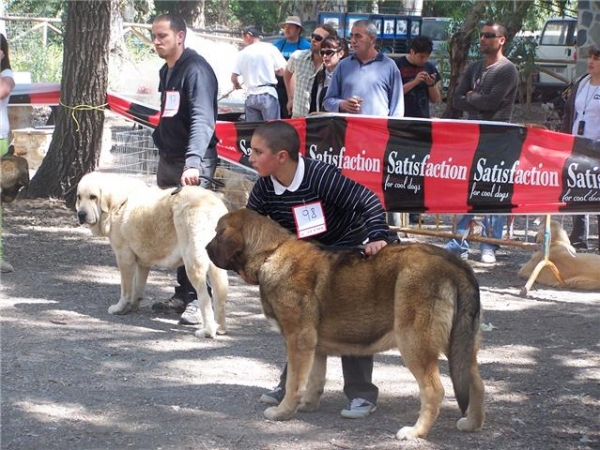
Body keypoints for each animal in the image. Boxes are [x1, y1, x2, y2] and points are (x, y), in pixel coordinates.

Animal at [77, 172, 230, 338]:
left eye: (93, 197)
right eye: (79, 197)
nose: (81, 214)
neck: (118, 204)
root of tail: (213, 203)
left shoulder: (124, 258)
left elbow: (125, 289)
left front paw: (120, 308)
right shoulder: (142, 263)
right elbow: (137, 287)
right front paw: (132, 306)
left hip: (193, 263)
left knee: (205, 298)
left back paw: (208, 331)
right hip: (216, 267)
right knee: (220, 294)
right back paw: (220, 327)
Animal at [204, 209, 486, 442]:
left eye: (217, 233)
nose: (205, 248)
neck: (271, 252)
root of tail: (456, 265)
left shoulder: (298, 340)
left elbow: (294, 382)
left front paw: (283, 412)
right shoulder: (314, 346)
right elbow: (314, 379)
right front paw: (307, 405)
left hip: (415, 345)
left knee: (434, 391)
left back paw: (416, 431)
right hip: (460, 347)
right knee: (476, 383)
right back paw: (471, 423)